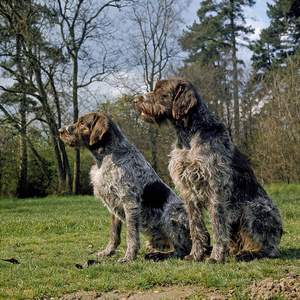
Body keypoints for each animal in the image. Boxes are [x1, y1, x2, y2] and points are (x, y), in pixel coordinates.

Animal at [135, 78, 282, 264]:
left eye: (161, 90)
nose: (135, 100)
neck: (188, 135)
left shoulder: (215, 189)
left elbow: (218, 228)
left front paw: (216, 257)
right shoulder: (189, 192)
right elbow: (196, 229)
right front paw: (196, 255)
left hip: (254, 209)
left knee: (268, 249)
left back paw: (247, 253)